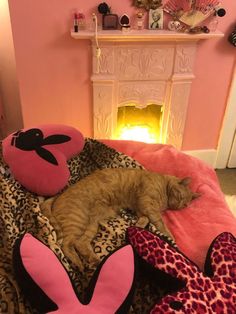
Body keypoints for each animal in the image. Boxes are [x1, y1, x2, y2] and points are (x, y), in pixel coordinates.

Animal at [40, 168, 197, 268]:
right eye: (181, 197)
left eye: (185, 204)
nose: (179, 206)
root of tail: (56, 198)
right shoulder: (147, 203)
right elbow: (160, 222)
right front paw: (171, 237)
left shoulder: (142, 209)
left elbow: (145, 219)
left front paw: (138, 226)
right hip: (78, 220)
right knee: (65, 244)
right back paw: (78, 263)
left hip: (91, 225)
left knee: (80, 243)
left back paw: (93, 260)